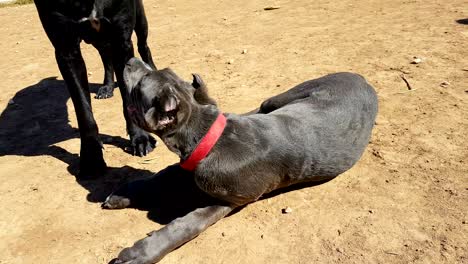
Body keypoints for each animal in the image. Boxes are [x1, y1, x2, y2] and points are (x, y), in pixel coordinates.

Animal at [33, 1, 157, 177]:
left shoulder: (121, 40)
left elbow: (128, 99)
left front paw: (140, 137)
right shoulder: (66, 48)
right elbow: (84, 112)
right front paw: (91, 158)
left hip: (139, 21)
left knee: (143, 45)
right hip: (97, 38)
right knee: (106, 55)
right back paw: (107, 87)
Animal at [104, 57, 378, 264]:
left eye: (142, 83)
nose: (130, 59)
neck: (206, 133)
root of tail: (363, 79)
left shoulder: (227, 200)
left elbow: (187, 225)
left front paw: (140, 253)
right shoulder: (187, 166)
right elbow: (162, 176)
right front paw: (123, 194)